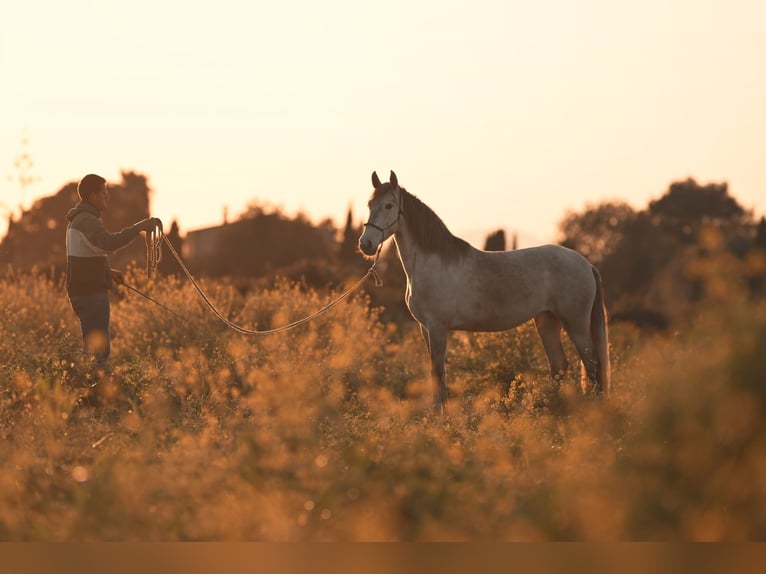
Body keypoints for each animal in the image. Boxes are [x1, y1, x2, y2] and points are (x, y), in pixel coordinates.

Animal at [358, 171, 610, 413]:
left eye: (389, 206)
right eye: (370, 204)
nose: (366, 244)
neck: (432, 263)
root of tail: (586, 264)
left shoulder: (438, 327)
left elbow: (437, 371)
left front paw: (439, 417)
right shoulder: (425, 328)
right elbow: (437, 373)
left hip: (575, 323)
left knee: (592, 364)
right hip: (547, 321)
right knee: (559, 365)